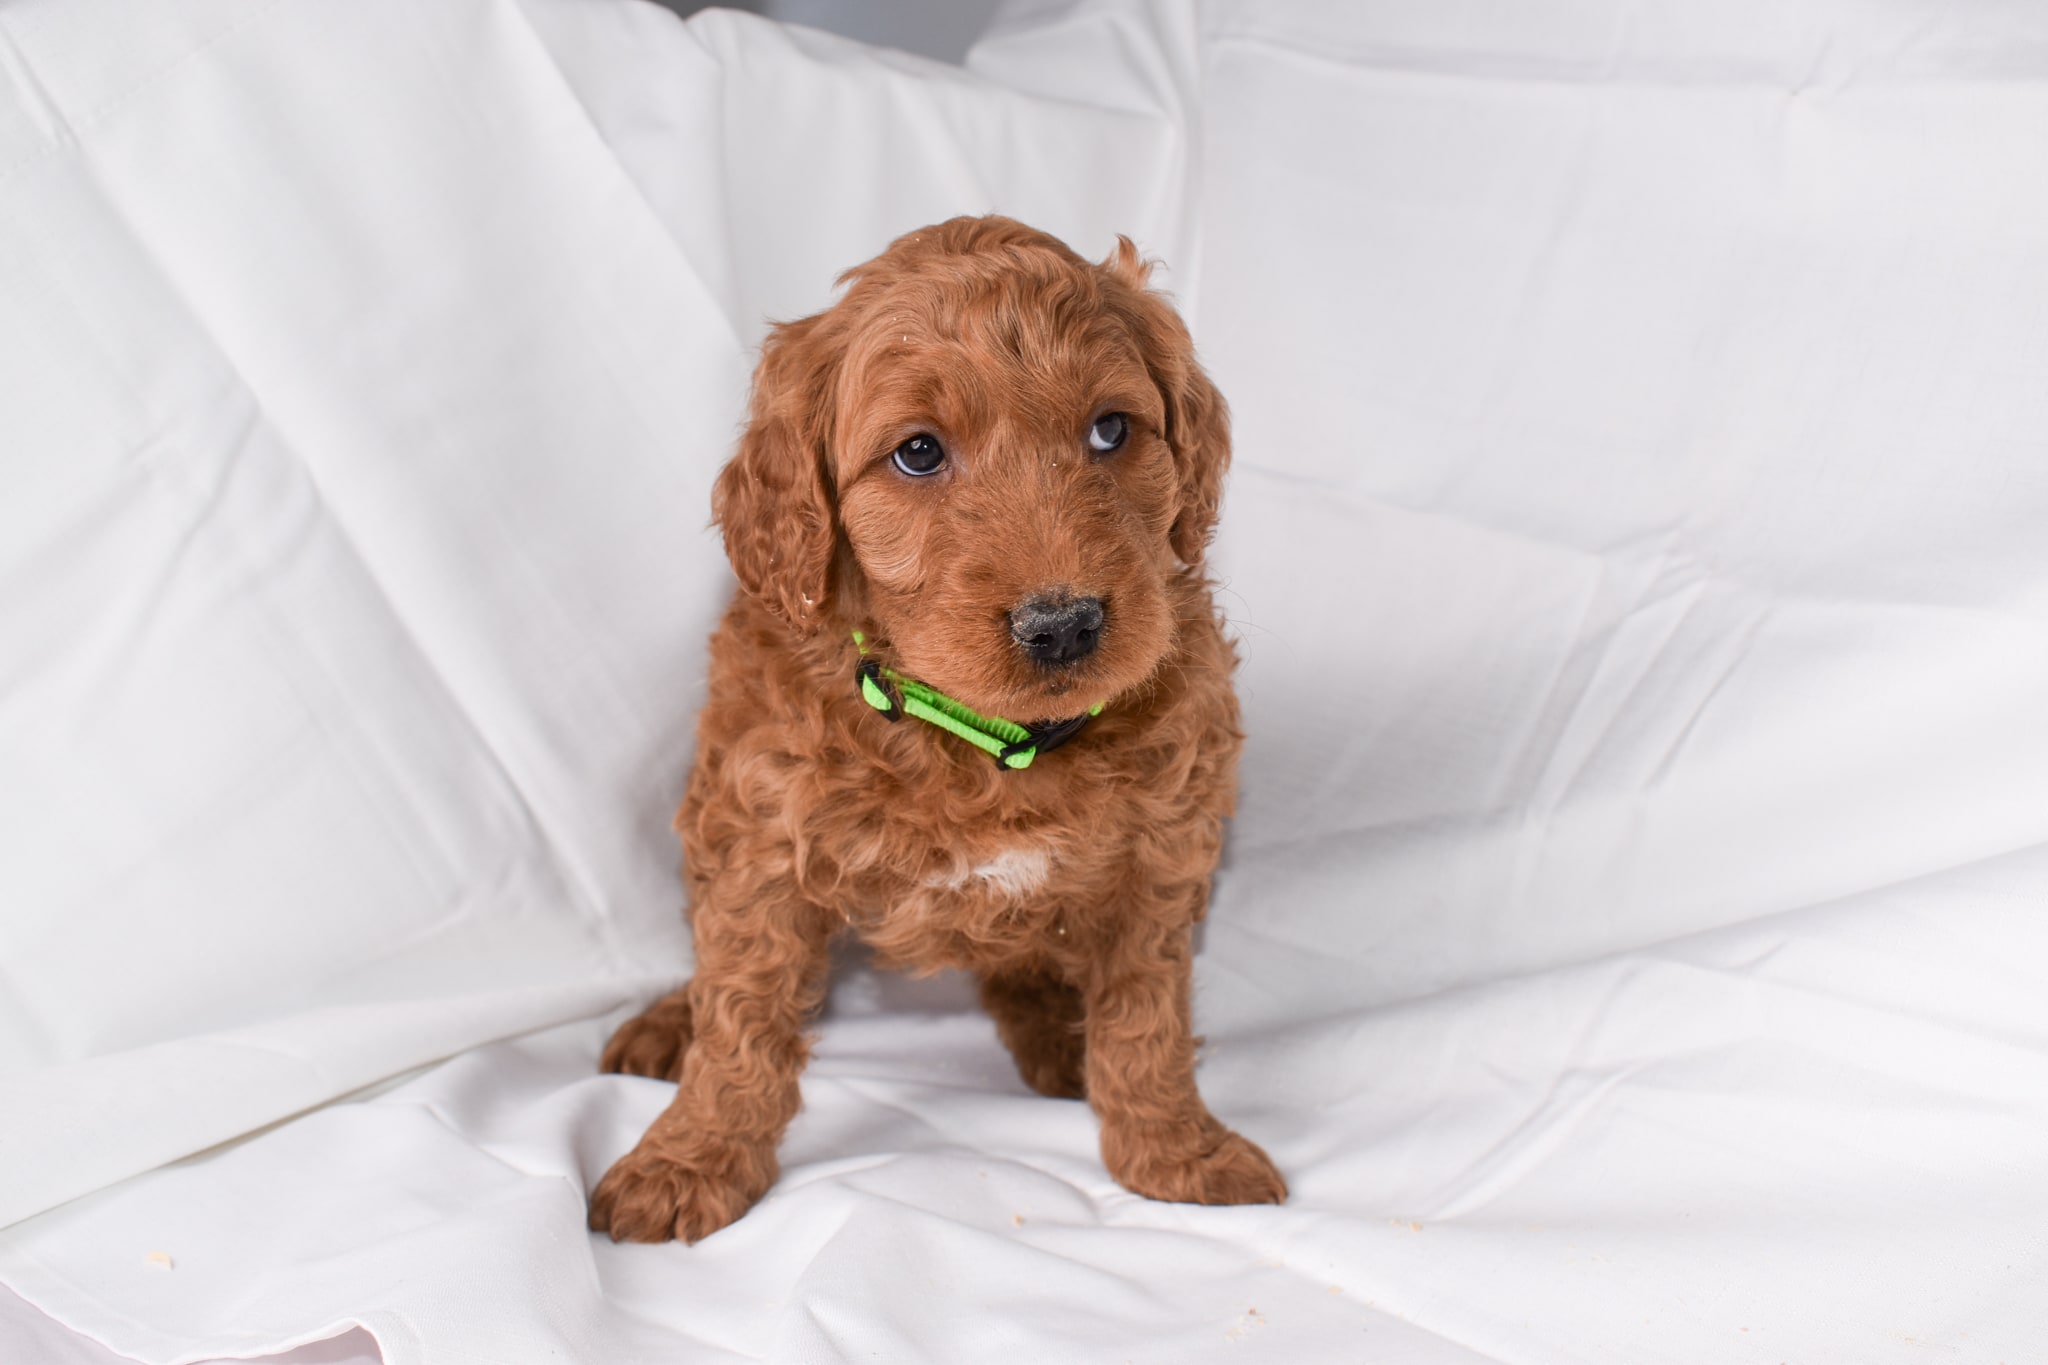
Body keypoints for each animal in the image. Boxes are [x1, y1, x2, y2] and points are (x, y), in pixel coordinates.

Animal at [585, 215, 1277, 1252]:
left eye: (1111, 429)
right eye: (917, 453)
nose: (1063, 626)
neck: (987, 740)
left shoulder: (1162, 852)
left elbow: (1144, 1019)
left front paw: (1175, 1152)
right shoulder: (762, 839)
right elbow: (741, 1015)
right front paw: (690, 1159)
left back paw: (1057, 1032)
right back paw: (669, 1022)